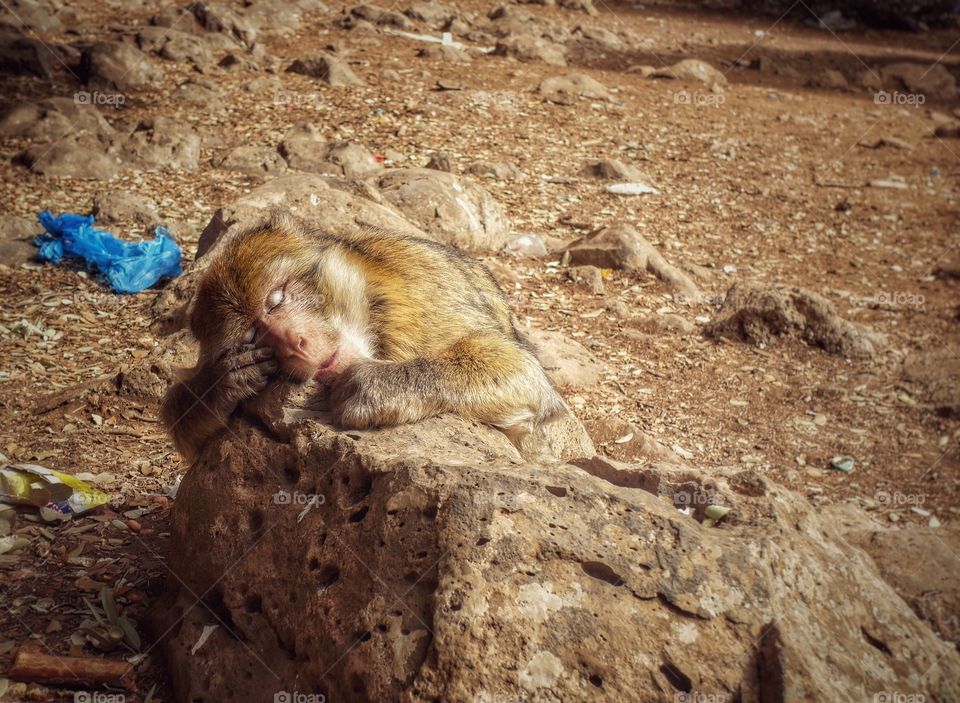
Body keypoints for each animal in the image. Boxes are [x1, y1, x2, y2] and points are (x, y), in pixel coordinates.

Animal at [158, 217, 564, 464]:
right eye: (253, 335)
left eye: (277, 299)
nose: (293, 343)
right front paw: (218, 385)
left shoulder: (420, 298)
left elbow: (526, 376)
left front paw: (376, 384)